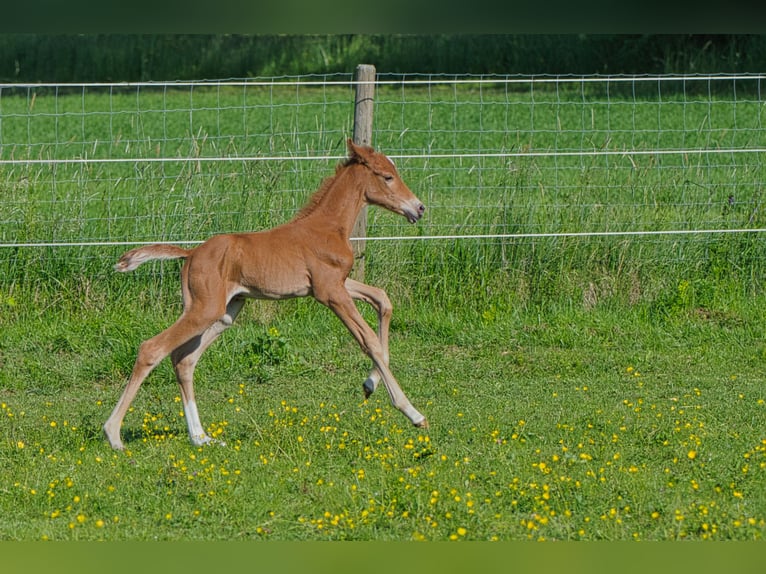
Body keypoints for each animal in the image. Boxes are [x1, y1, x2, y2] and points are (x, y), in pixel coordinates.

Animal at [104, 141, 432, 450]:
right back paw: (114, 434)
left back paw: (201, 437)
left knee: (184, 360)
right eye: (387, 176)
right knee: (152, 349)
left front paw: (369, 384)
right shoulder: (330, 292)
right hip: (204, 309)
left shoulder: (336, 283)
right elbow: (369, 341)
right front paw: (413, 413)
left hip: (225, 312)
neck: (327, 228)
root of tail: (192, 252)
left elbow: (382, 299)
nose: (418, 208)